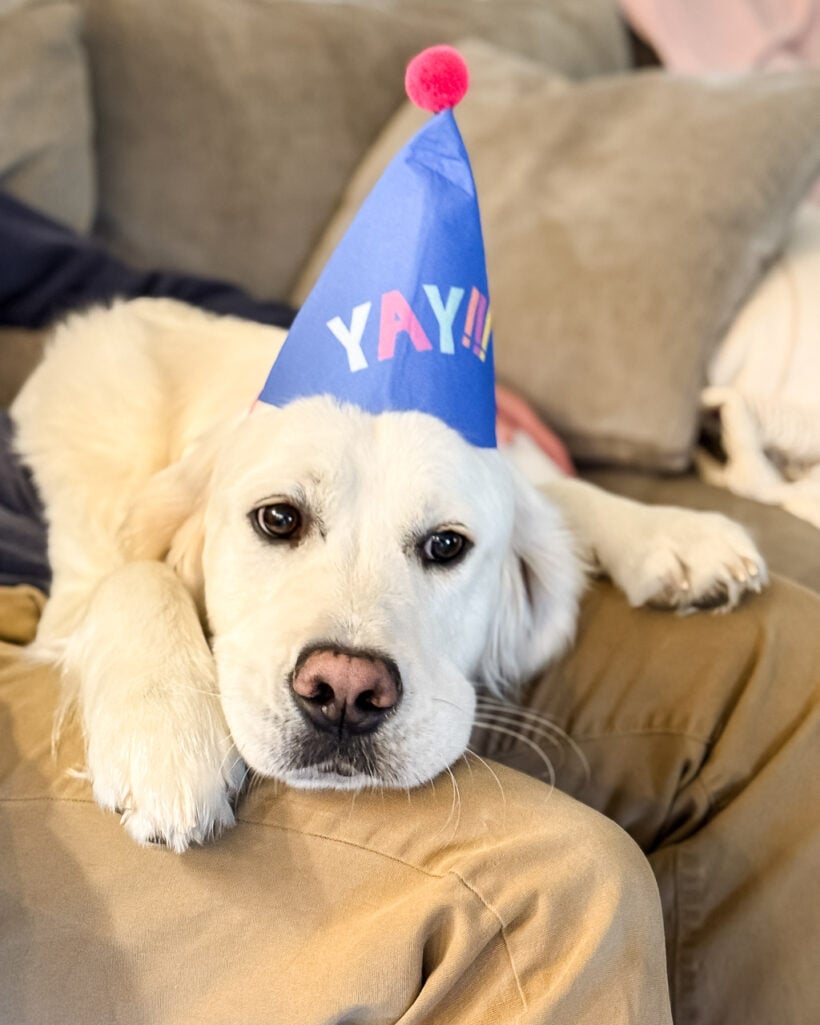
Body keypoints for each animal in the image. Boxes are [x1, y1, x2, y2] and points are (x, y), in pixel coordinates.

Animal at [11, 299, 770, 852]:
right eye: (278, 518)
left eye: (446, 544)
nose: (345, 692)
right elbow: (133, 573)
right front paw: (167, 735)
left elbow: (560, 494)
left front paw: (673, 533)